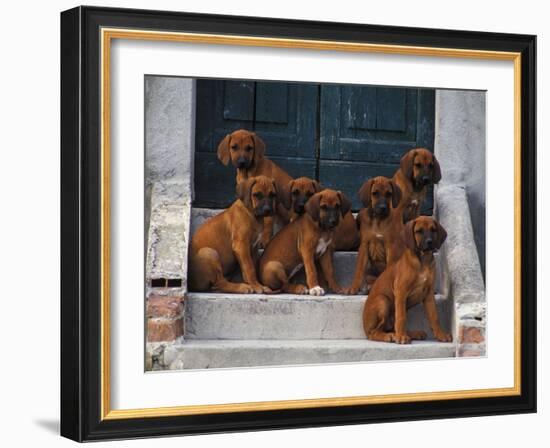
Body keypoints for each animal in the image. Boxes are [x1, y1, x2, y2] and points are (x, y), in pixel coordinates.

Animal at [362, 215, 452, 344]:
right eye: (419, 231)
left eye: (433, 230)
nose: (429, 242)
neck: (423, 261)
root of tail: (365, 327)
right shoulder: (401, 292)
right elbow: (401, 317)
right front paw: (401, 337)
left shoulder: (429, 293)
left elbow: (434, 316)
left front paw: (441, 334)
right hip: (382, 301)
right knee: (375, 332)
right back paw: (390, 336)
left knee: (390, 327)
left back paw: (412, 333)